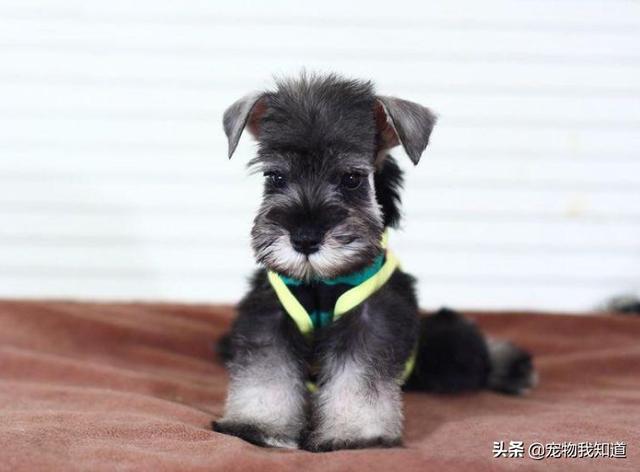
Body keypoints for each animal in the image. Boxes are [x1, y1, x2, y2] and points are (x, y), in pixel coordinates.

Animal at [212, 73, 537, 452]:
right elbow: (266, 373)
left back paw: (512, 367)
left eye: (352, 178)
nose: (304, 238)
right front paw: (259, 424)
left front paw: (355, 433)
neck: (322, 282)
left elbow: (359, 378)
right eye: (275, 177)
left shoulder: (373, 319)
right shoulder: (270, 315)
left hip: (448, 356)